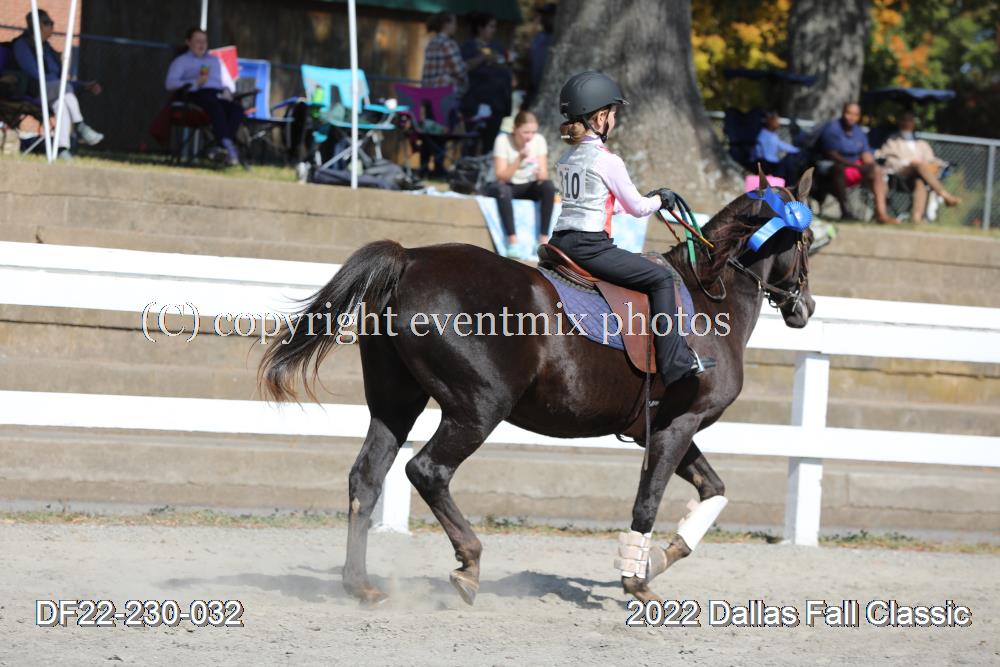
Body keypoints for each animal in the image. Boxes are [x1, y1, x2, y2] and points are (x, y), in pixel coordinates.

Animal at [258, 168, 816, 606]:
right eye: (808, 241)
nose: (805, 308)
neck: (709, 298)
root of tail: (411, 258)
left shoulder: (660, 428)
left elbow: (713, 490)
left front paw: (661, 558)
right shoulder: (678, 424)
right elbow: (649, 500)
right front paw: (637, 579)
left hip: (396, 404)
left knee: (367, 479)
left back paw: (361, 584)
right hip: (478, 408)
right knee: (427, 471)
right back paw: (469, 563)